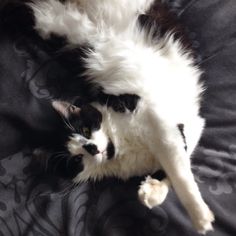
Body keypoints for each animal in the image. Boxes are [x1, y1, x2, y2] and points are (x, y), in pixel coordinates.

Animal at [29, 0, 214, 232]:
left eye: (85, 129)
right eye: (77, 158)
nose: (91, 147)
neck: (122, 143)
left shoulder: (166, 121)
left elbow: (178, 171)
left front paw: (199, 216)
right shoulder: (185, 128)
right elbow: (177, 163)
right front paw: (155, 191)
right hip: (48, 23)